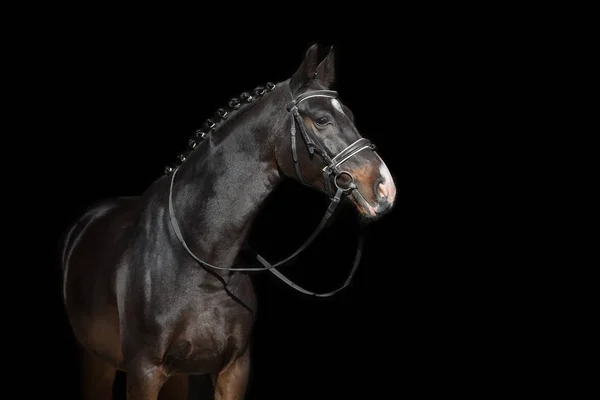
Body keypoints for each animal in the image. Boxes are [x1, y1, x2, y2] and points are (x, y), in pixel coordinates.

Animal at [59, 42, 398, 398]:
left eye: (351, 117)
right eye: (321, 119)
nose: (385, 187)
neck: (199, 259)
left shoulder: (233, 370)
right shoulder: (144, 372)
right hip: (97, 361)